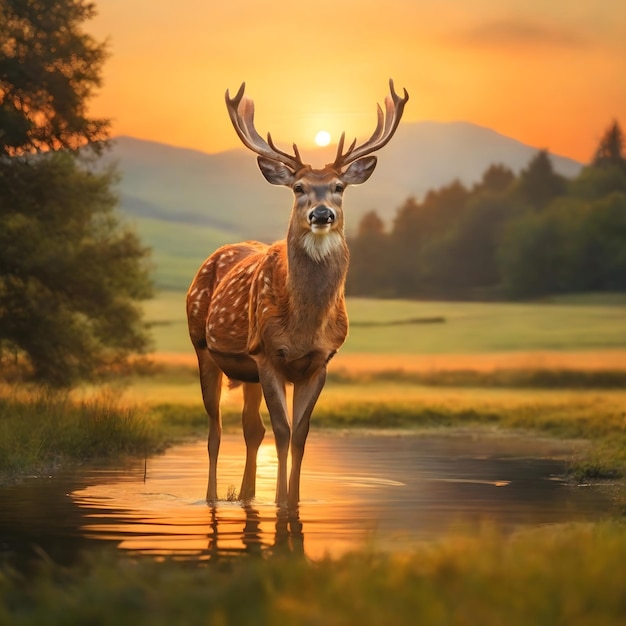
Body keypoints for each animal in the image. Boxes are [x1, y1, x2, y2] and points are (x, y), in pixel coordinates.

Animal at [185, 79, 408, 508]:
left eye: (339, 187)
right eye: (299, 187)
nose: (321, 214)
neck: (302, 326)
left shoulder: (320, 361)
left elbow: (302, 432)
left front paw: (295, 501)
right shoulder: (268, 353)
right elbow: (283, 430)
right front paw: (280, 503)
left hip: (247, 371)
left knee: (250, 429)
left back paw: (246, 497)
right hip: (202, 346)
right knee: (215, 431)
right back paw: (212, 499)